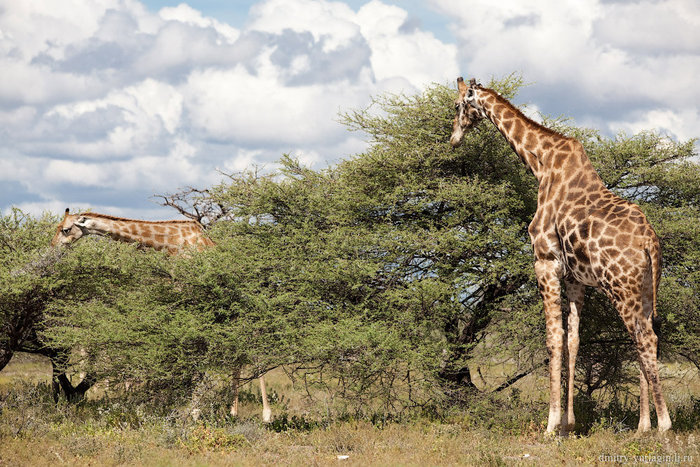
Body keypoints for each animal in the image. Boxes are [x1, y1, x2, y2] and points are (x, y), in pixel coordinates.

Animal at [52, 209, 274, 424]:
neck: (170, 243)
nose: (53, 247)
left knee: (254, 348)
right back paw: (233, 412)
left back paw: (266, 415)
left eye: (65, 229)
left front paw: (192, 411)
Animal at [452, 77, 668, 436]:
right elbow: (574, 342)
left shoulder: (545, 262)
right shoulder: (575, 279)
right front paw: (569, 423)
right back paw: (643, 424)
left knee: (645, 337)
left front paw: (551, 424)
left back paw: (664, 423)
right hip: (647, 289)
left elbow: (553, 339)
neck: (540, 163)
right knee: (645, 337)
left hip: (620, 286)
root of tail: (649, 241)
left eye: (457, 106)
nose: (453, 138)